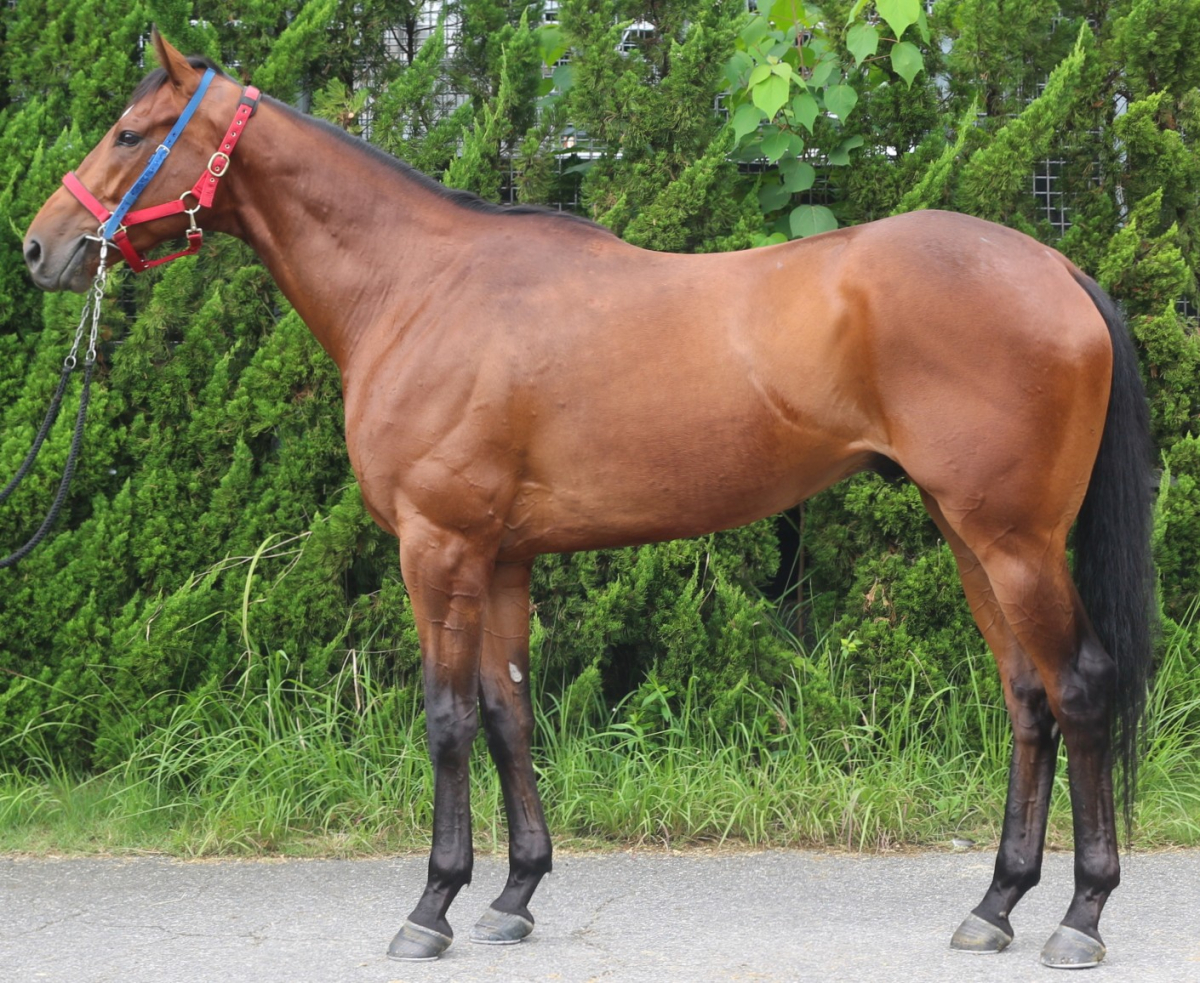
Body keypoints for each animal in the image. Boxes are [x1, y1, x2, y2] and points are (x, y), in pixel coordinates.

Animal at [22, 30, 1155, 969]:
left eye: (130, 133)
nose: (41, 246)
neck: (417, 287)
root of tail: (1053, 263)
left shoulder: (438, 548)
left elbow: (446, 716)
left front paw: (431, 905)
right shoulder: (501, 556)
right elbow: (508, 711)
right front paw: (513, 894)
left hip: (1014, 540)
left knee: (1082, 687)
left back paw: (1080, 916)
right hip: (971, 536)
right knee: (1028, 698)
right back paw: (996, 904)